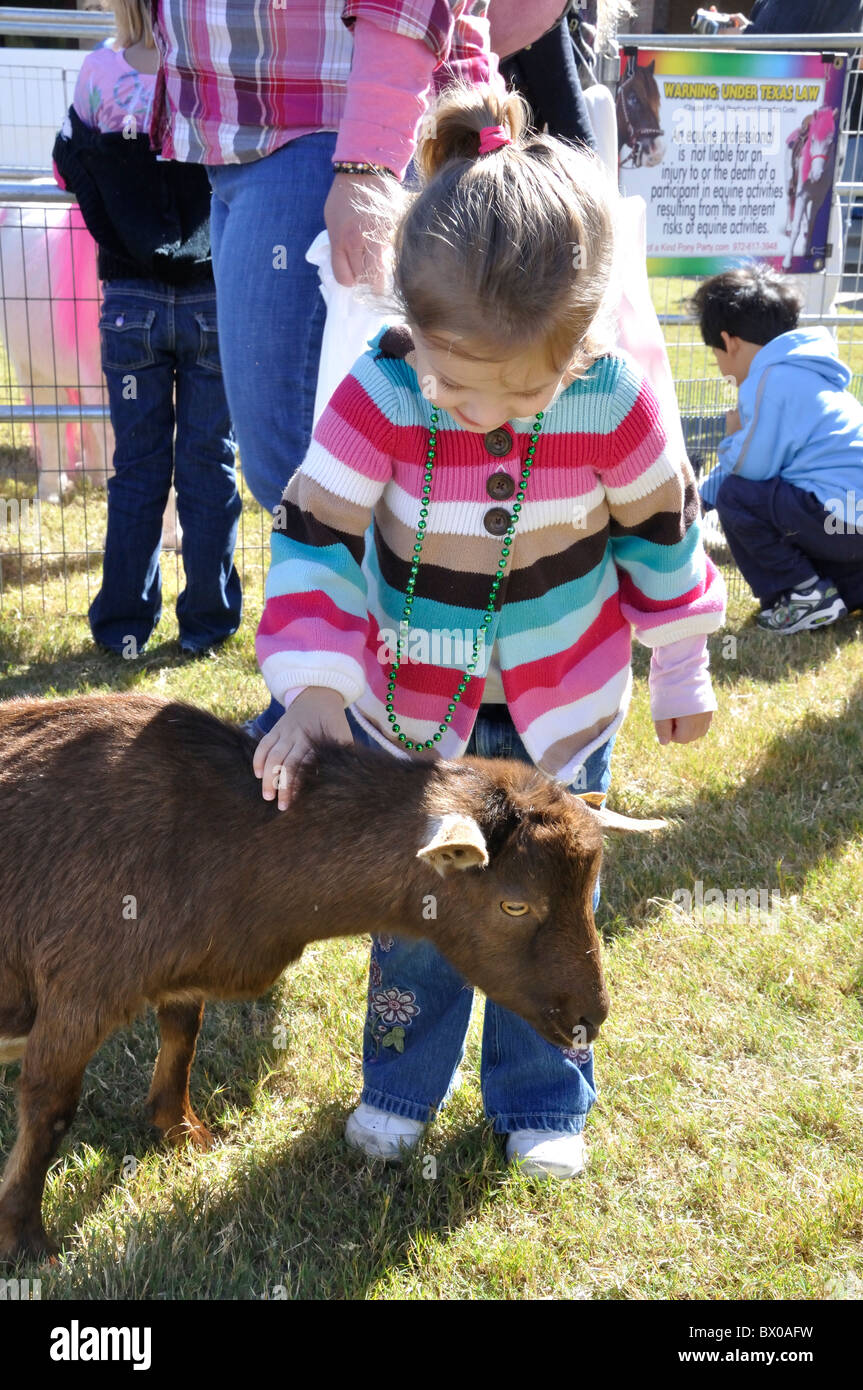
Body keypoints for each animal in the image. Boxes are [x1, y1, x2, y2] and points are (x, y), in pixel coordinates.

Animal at [0, 695, 664, 1262]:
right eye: (515, 905)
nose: (589, 1017)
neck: (221, 840)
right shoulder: (79, 986)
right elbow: (52, 1107)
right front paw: (27, 1241)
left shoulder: (180, 975)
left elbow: (181, 1040)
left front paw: (184, 1134)